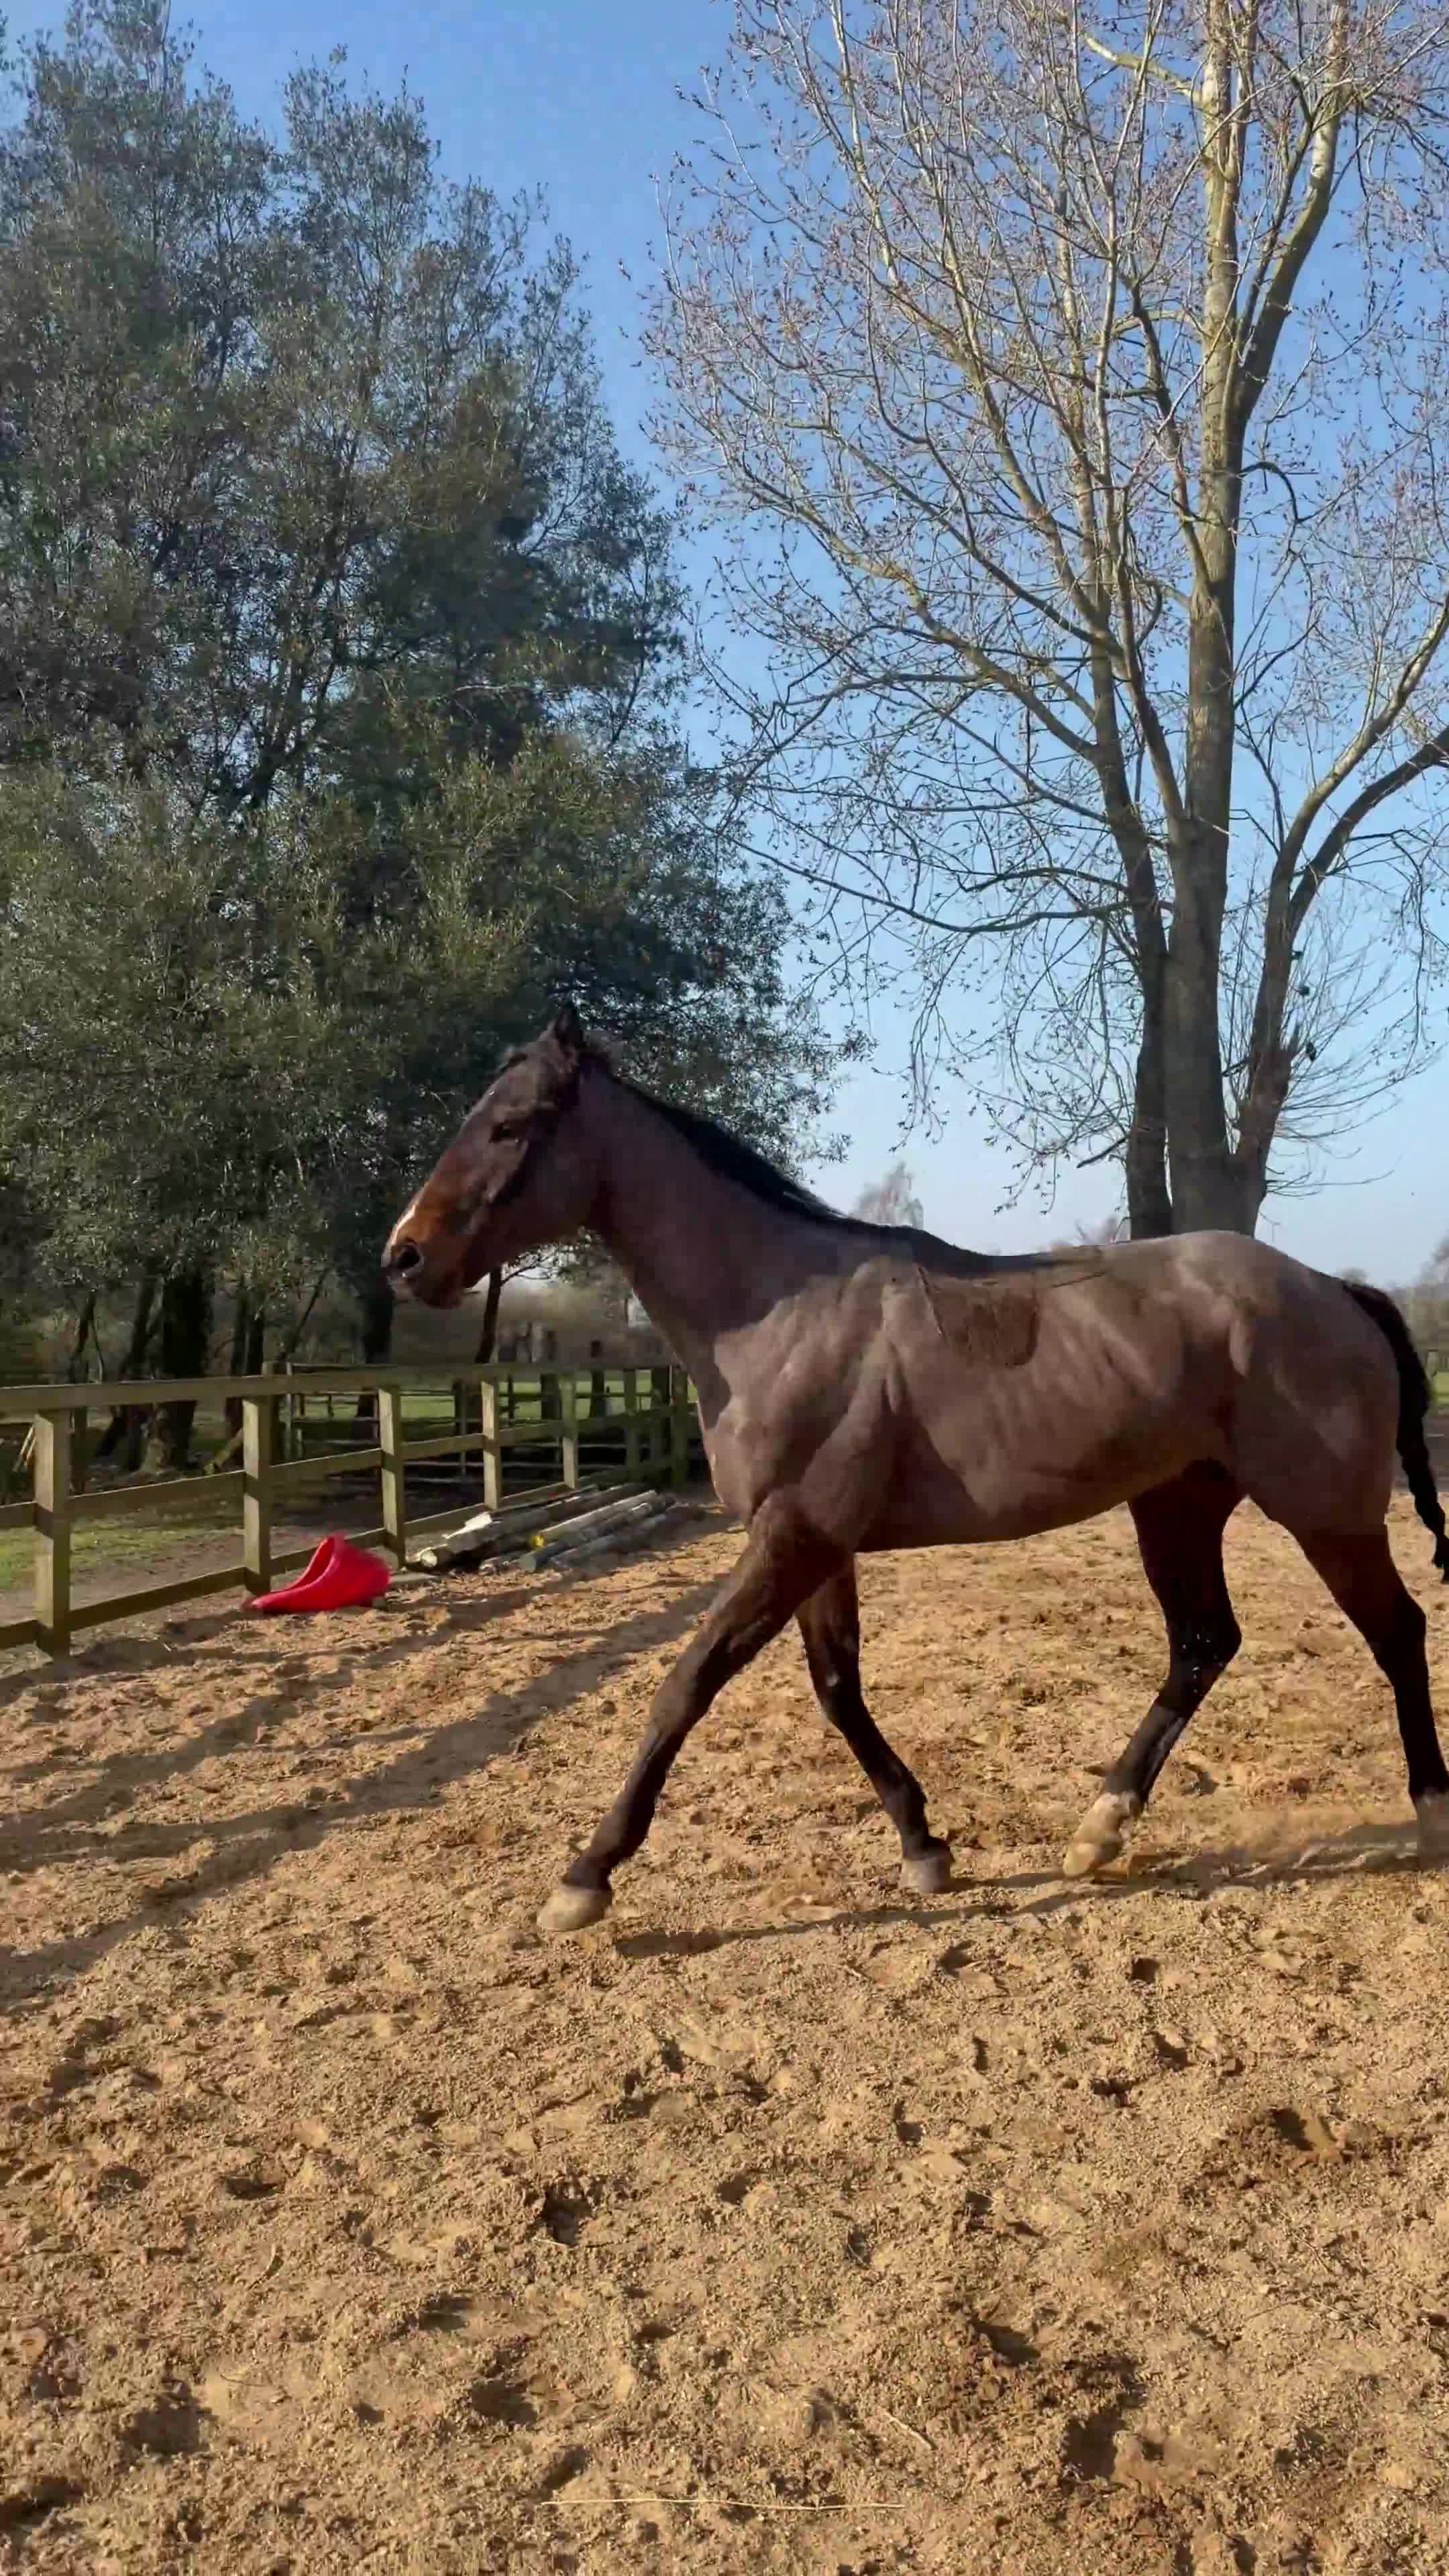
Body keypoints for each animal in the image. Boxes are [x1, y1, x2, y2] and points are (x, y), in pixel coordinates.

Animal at [382, 1006, 1449, 1935]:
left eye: (508, 1125)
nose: (404, 1258)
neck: (778, 1315)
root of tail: (1338, 1292)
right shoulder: (816, 1545)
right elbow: (836, 1687)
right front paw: (923, 1844)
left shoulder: (794, 1536)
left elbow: (687, 1684)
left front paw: (587, 1875)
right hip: (1176, 1508)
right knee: (1203, 1645)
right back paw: (1100, 1828)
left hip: (1325, 1514)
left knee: (1395, 1630)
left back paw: (1430, 1810)